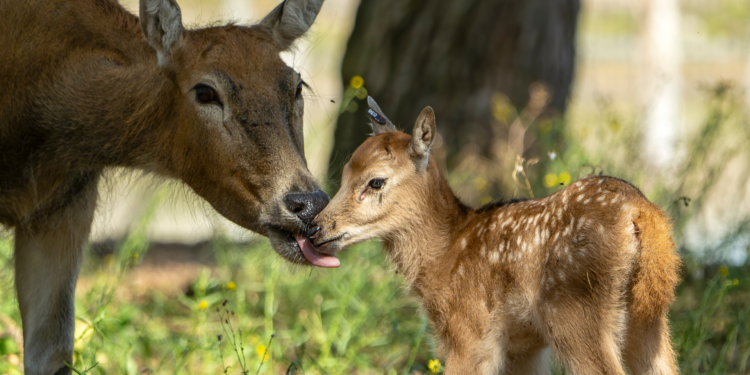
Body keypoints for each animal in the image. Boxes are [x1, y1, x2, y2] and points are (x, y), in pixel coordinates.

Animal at [306, 98, 688, 374]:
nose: (314, 227)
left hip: (575, 309)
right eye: (343, 173)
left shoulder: (470, 333)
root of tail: (641, 213)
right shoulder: (523, 347)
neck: (443, 255)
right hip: (649, 320)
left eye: (376, 181)